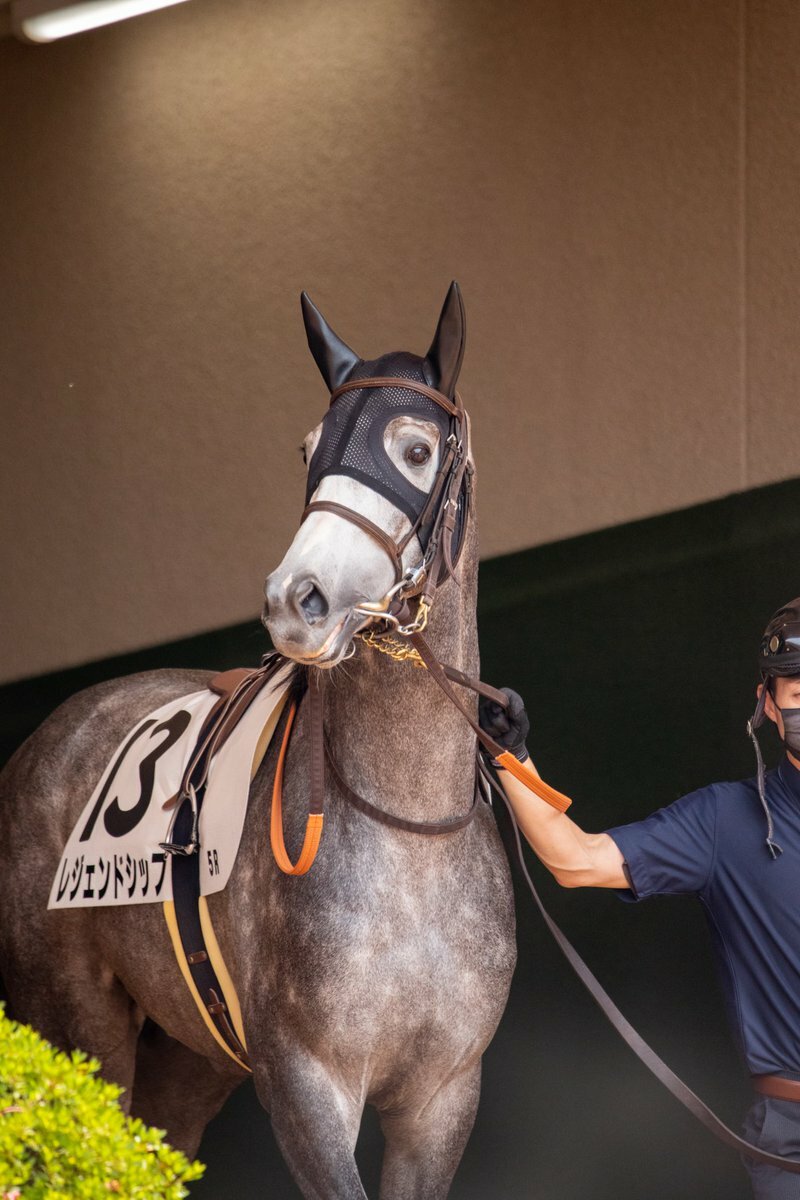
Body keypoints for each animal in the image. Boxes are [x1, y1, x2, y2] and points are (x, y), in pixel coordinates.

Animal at [0, 283, 517, 1199]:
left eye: (417, 450)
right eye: (309, 447)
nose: (296, 599)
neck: (404, 830)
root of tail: (45, 742)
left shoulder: (442, 1098)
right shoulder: (308, 1087)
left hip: (189, 1061)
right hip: (76, 1036)